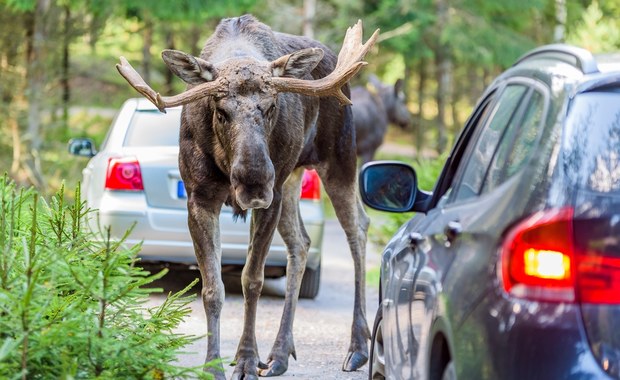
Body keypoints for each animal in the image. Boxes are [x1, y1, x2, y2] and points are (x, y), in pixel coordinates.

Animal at [115, 13, 378, 378]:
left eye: (270, 107)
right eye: (221, 111)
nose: (253, 181)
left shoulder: (270, 198)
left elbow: (251, 280)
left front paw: (247, 360)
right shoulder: (200, 199)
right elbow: (212, 289)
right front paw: (213, 366)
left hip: (337, 159)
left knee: (358, 228)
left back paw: (357, 348)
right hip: (292, 178)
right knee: (301, 243)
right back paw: (280, 354)